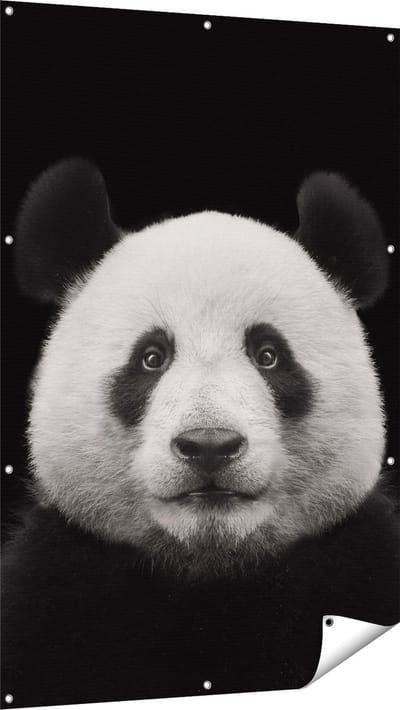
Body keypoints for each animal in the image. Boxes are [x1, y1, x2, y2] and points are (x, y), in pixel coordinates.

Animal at [1, 159, 399, 708]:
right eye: (151, 357)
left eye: (268, 354)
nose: (209, 446)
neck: (208, 572)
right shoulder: (54, 594)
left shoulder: (360, 564)